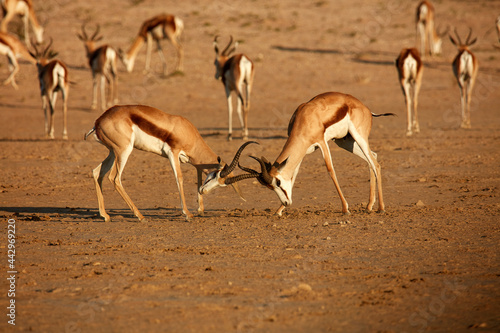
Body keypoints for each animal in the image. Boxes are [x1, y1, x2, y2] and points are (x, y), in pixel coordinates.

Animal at [86, 105, 250, 222]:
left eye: (221, 185)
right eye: (214, 176)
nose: (204, 191)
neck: (187, 131)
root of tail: (99, 121)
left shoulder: (192, 162)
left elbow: (197, 178)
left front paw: (201, 210)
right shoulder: (173, 153)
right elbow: (180, 178)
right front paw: (188, 214)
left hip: (113, 152)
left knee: (97, 172)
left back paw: (105, 215)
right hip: (123, 151)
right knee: (114, 178)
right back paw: (140, 216)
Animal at [200, 91, 394, 215]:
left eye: (277, 182)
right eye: (270, 187)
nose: (286, 202)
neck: (305, 118)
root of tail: (366, 108)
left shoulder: (322, 143)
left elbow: (330, 170)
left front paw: (345, 209)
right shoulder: (304, 151)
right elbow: (294, 175)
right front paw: (279, 211)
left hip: (358, 137)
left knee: (375, 163)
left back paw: (381, 208)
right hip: (345, 142)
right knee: (373, 158)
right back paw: (369, 206)